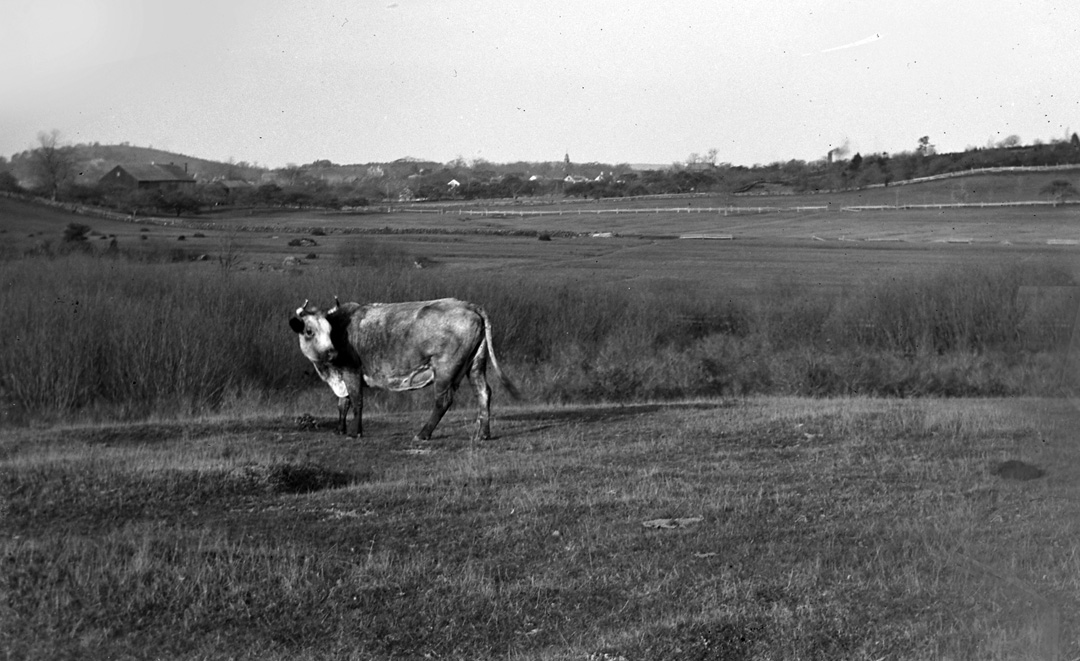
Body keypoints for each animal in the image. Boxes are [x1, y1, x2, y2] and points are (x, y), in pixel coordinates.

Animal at [289, 297, 520, 442]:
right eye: (309, 331)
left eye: (329, 331)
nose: (332, 353)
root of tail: (469, 305)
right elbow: (342, 404)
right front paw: (339, 429)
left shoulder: (351, 371)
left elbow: (355, 402)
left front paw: (355, 432)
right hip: (476, 363)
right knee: (483, 393)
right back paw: (483, 434)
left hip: (445, 369)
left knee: (443, 401)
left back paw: (423, 433)